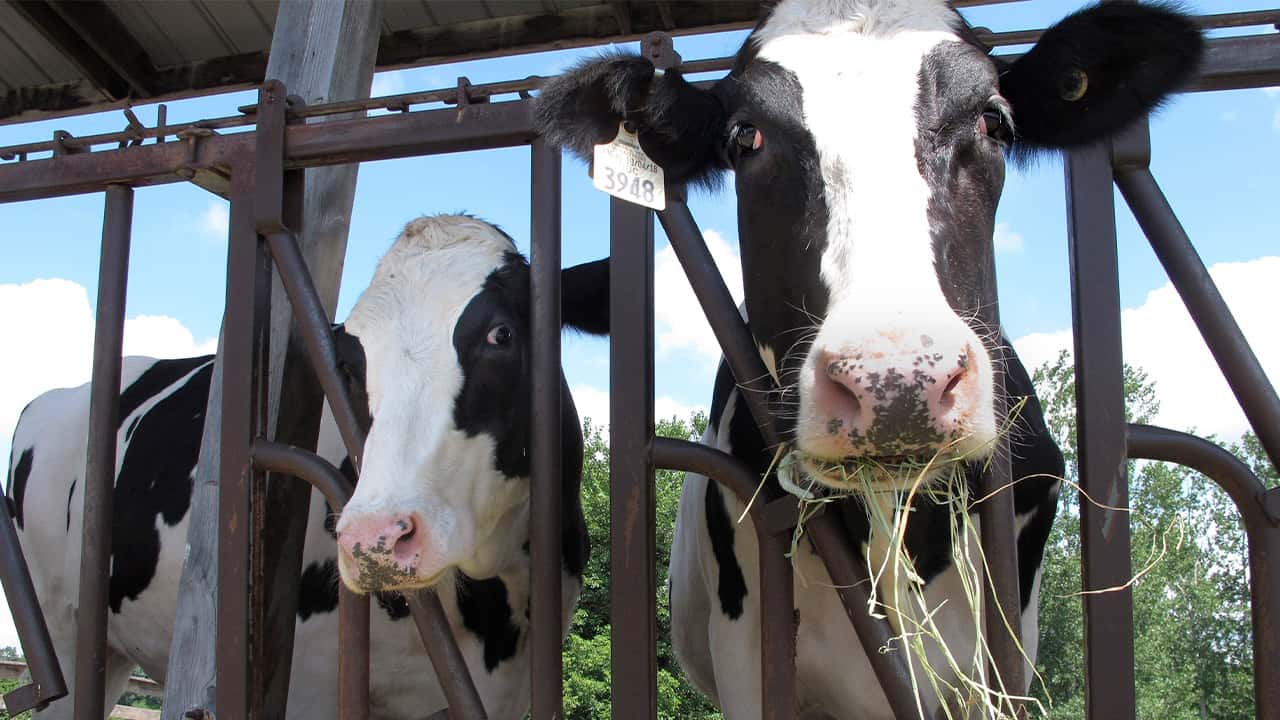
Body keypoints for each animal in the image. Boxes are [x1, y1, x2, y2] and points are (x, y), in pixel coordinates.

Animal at [6, 215, 610, 720]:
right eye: (347, 363)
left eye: (501, 334)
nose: (375, 539)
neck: (490, 609)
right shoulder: (306, 685)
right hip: (64, 632)